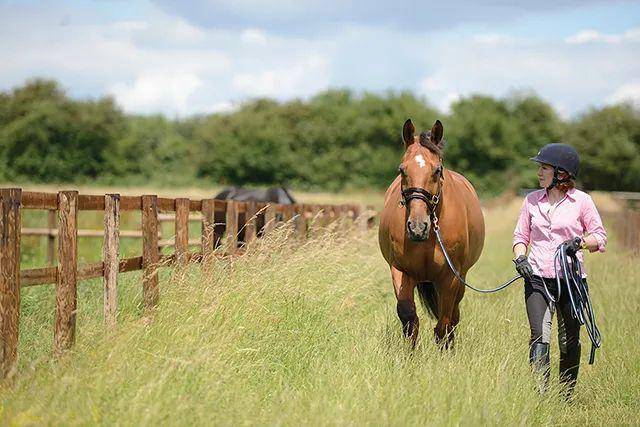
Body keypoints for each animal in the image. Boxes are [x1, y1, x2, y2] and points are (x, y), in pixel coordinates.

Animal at [378, 119, 485, 348]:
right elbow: (408, 316)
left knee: (453, 315)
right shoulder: (400, 270)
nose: (418, 227)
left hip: (461, 277)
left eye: (436, 170)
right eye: (402, 170)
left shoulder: (450, 277)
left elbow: (444, 322)